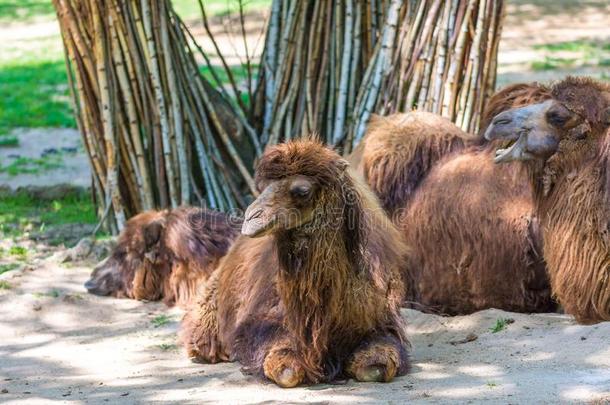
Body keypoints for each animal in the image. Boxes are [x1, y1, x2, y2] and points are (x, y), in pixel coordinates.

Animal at [180, 140, 408, 388]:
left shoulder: (382, 321)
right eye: (263, 186)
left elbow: (375, 368)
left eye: (302, 191)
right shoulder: (259, 323)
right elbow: (287, 371)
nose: (251, 217)